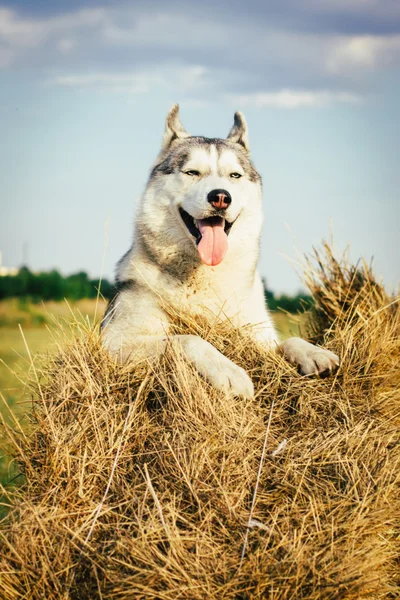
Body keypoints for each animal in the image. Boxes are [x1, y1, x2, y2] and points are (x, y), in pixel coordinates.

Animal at [101, 106, 340, 398]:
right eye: (192, 172)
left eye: (234, 176)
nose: (221, 197)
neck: (205, 274)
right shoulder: (115, 341)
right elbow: (189, 339)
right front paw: (229, 372)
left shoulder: (258, 336)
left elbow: (286, 341)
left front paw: (313, 353)